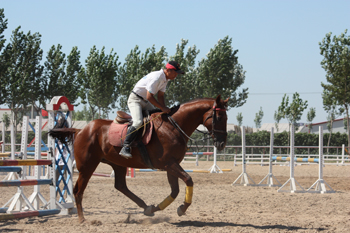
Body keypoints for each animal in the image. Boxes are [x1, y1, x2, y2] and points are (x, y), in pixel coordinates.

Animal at [49, 94, 230, 222]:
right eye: (220, 118)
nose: (221, 144)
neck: (173, 126)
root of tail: (80, 130)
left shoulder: (171, 166)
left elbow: (175, 190)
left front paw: (157, 208)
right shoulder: (169, 164)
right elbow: (188, 180)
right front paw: (182, 209)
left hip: (118, 164)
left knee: (121, 186)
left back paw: (146, 207)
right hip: (87, 166)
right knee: (78, 191)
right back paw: (82, 219)